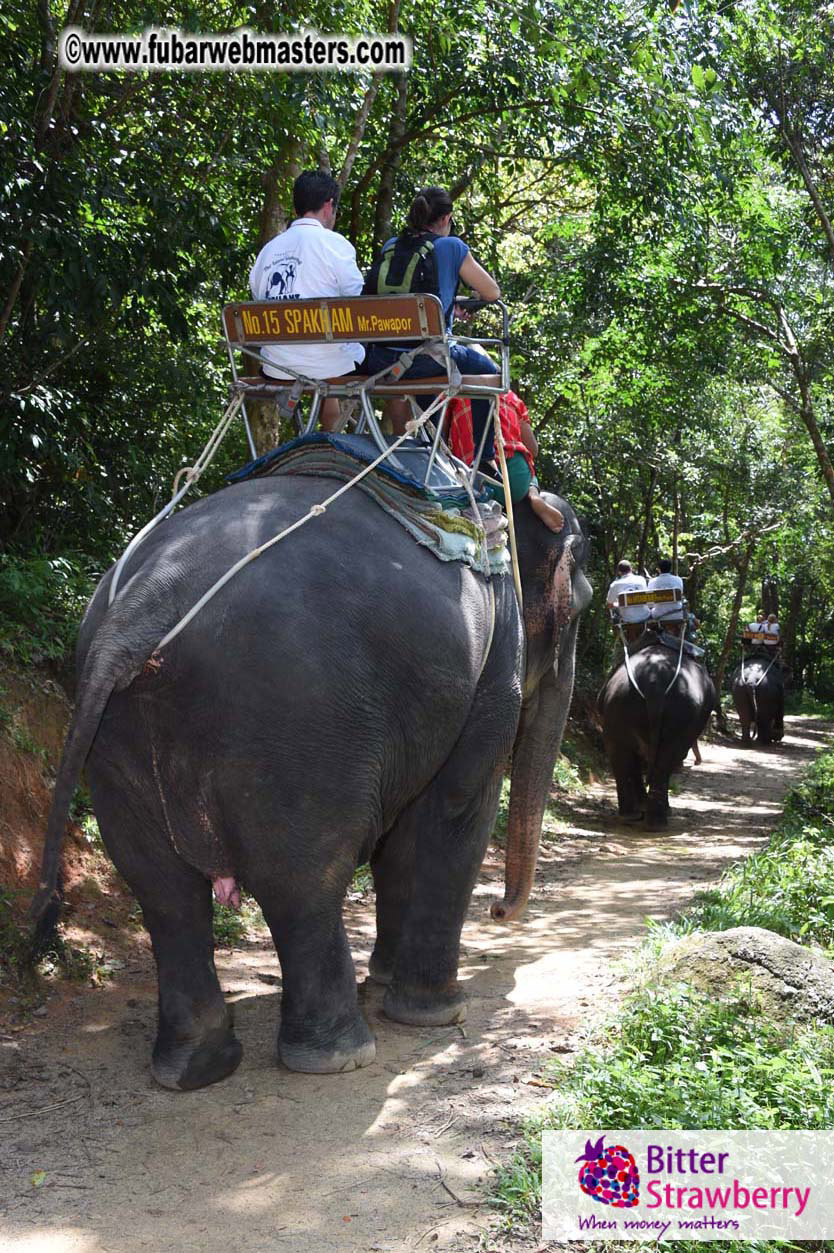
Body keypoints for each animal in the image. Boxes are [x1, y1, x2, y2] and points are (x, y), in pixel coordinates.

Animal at [31, 470, 591, 1090]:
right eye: (582, 610)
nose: (498, 911)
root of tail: (143, 603)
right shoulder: (491, 670)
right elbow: (455, 812)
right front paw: (436, 1013)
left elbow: (398, 844)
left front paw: (383, 981)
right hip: (296, 724)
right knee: (303, 881)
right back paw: (339, 1056)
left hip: (116, 740)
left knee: (163, 892)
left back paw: (193, 1069)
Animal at [598, 635, 715, 827]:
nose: (698, 762)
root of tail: (655, 684)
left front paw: (642, 806)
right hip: (680, 710)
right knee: (666, 758)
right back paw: (657, 820)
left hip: (617, 705)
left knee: (620, 755)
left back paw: (632, 816)